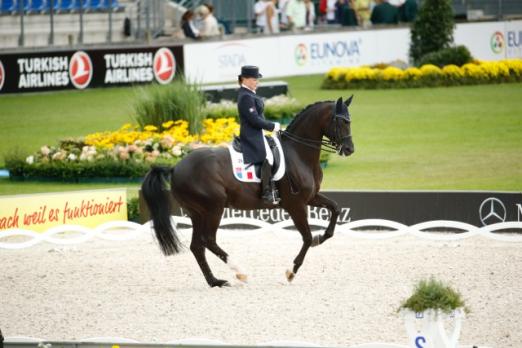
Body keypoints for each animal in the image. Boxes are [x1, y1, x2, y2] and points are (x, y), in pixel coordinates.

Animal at [141, 96, 354, 286]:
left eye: (349, 120)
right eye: (342, 121)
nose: (350, 149)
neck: (298, 154)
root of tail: (175, 168)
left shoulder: (311, 197)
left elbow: (335, 209)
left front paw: (322, 237)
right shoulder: (296, 205)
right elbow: (307, 238)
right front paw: (291, 272)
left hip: (197, 212)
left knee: (197, 247)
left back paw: (215, 281)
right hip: (213, 208)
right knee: (208, 241)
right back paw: (240, 272)